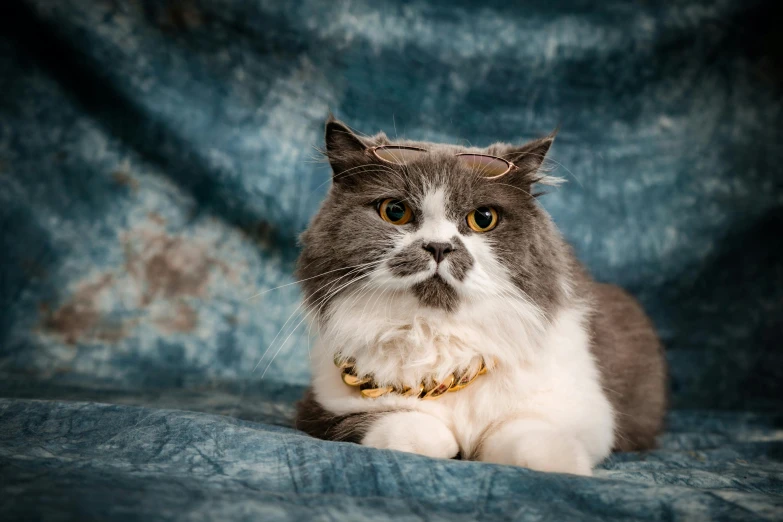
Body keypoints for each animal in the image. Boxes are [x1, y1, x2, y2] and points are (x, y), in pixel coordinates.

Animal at [294, 116, 668, 474]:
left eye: (483, 219)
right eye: (395, 212)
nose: (439, 247)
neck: (437, 336)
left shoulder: (587, 413)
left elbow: (525, 434)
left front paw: (563, 467)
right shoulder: (322, 406)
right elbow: (411, 429)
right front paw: (446, 440)